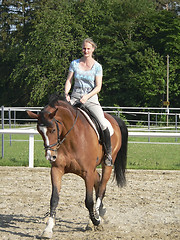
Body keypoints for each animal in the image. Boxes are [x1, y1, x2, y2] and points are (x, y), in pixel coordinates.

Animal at [26, 95, 128, 238]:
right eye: (39, 132)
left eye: (53, 130)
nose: (50, 156)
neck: (70, 138)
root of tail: (113, 118)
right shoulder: (57, 170)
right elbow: (54, 199)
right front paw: (48, 229)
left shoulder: (88, 173)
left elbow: (89, 201)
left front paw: (95, 221)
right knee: (98, 181)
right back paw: (100, 213)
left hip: (107, 164)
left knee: (101, 188)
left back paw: (96, 217)